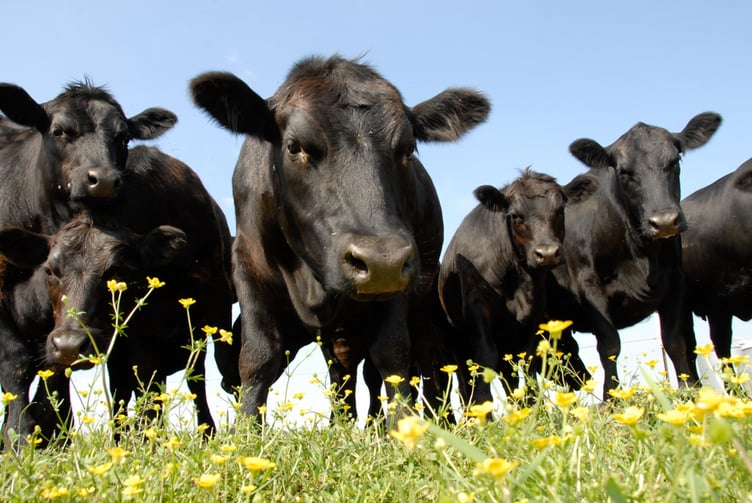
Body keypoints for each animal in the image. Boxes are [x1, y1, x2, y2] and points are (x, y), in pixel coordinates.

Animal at [0, 81, 177, 446]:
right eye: (59, 130)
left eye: (124, 137)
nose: (105, 180)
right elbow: (16, 364)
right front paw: (19, 439)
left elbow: (55, 368)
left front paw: (52, 433)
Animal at [189, 55, 490, 425]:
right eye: (294, 146)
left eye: (408, 149)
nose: (379, 258)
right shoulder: (248, 262)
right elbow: (258, 355)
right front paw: (245, 429)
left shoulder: (398, 269)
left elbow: (392, 354)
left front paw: (402, 426)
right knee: (341, 370)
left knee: (423, 362)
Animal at [438, 170, 590, 411]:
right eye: (516, 215)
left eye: (560, 209)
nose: (547, 253)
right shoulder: (477, 307)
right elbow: (485, 357)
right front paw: (484, 407)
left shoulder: (535, 312)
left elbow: (528, 360)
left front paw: (532, 407)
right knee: (466, 382)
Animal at [546, 112, 722, 397]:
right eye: (623, 171)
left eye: (675, 160)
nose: (664, 221)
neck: (641, 255)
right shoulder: (589, 286)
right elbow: (609, 345)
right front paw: (611, 397)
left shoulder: (675, 282)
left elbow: (674, 340)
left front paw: (687, 390)